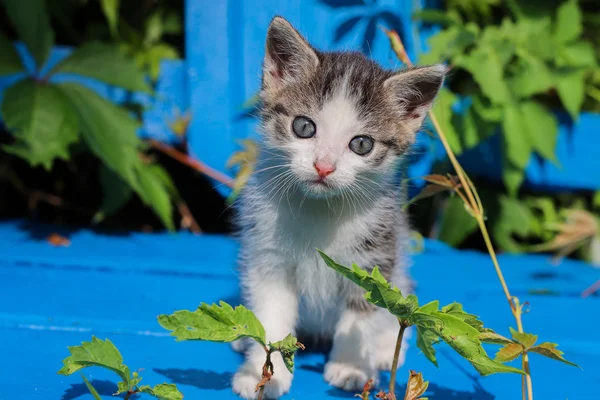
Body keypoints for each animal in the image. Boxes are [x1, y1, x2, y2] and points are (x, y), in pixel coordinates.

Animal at [230, 15, 446, 400]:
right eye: (303, 126)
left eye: (361, 144)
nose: (324, 167)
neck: (322, 210)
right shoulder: (268, 257)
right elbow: (271, 314)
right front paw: (261, 373)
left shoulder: (376, 255)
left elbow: (362, 315)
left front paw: (351, 365)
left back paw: (385, 346)